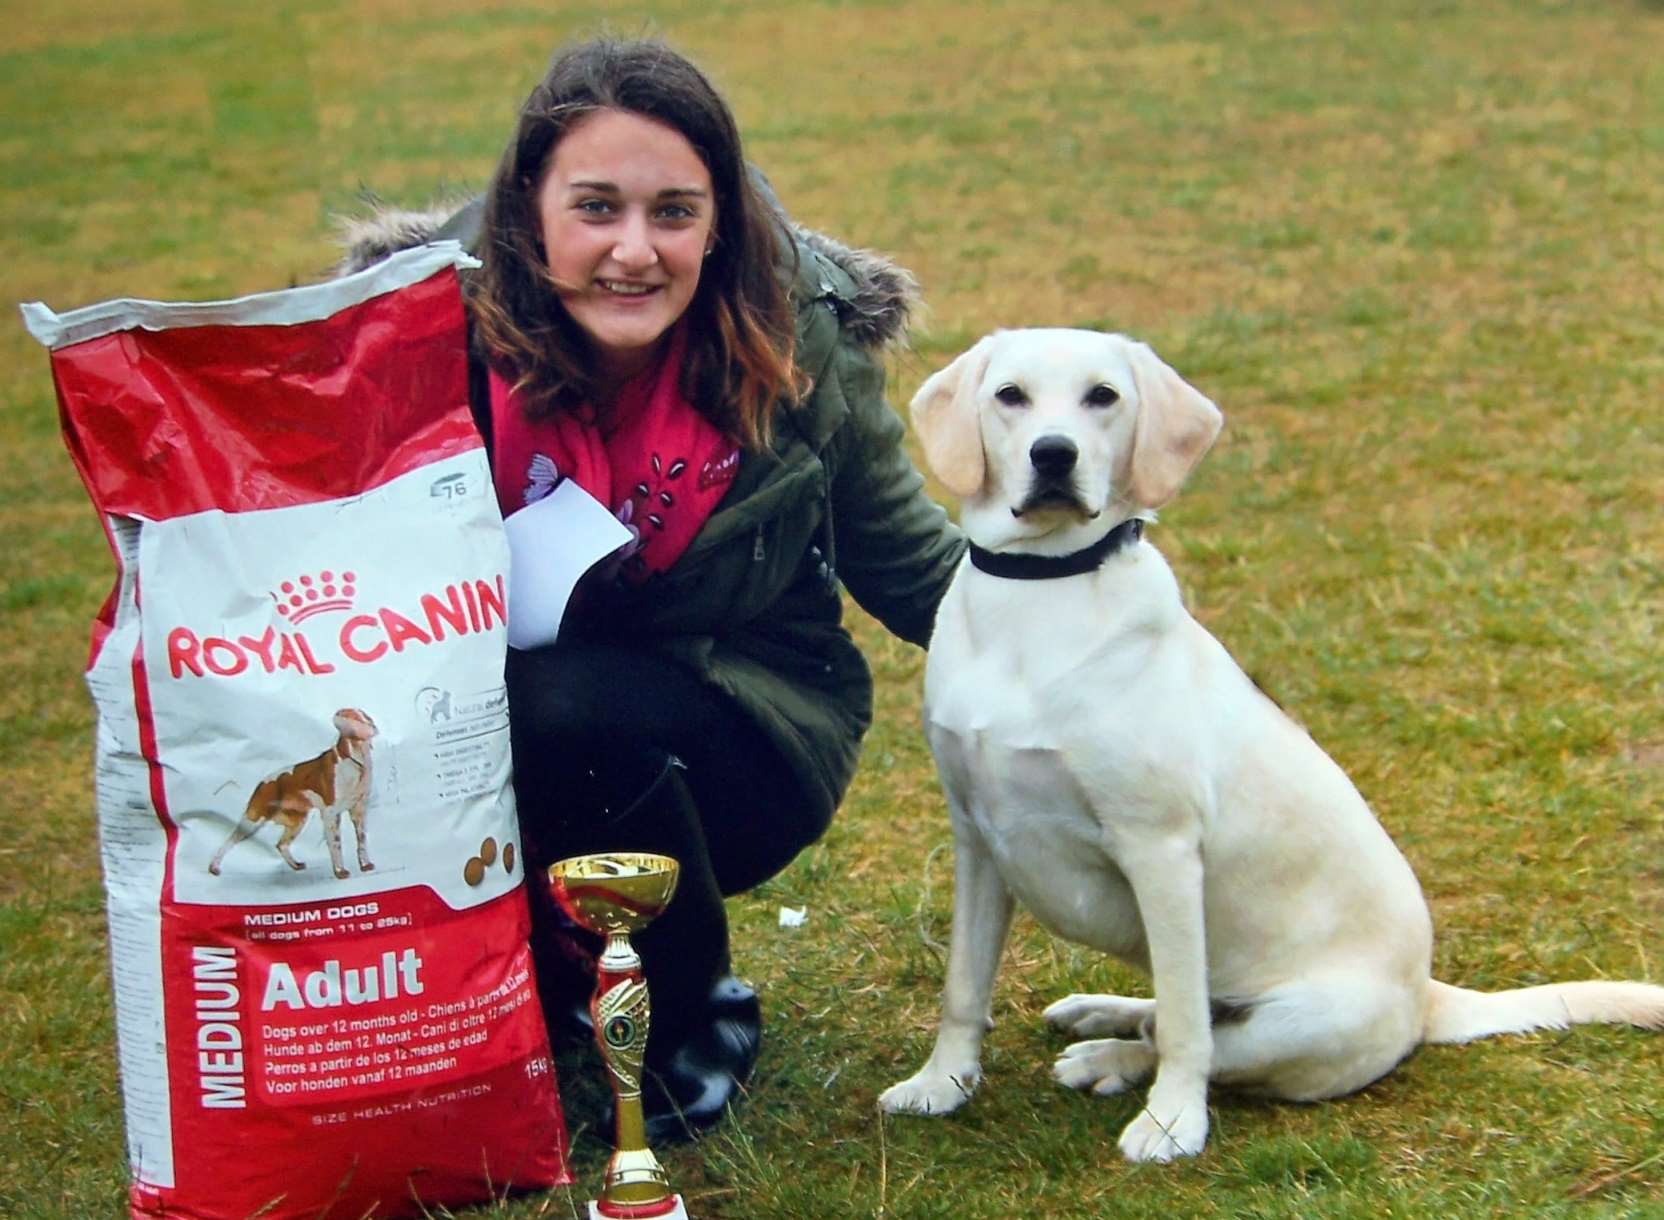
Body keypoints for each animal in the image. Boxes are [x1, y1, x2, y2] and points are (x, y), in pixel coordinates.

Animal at [878, 326, 1657, 1158]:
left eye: (1103, 396)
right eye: (1010, 396)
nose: (1054, 455)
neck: (1040, 592)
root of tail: (1426, 995)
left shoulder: (1160, 851)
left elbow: (1187, 1032)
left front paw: (1171, 1123)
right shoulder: (978, 839)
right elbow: (964, 985)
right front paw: (942, 1083)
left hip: (1300, 1020)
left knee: (1198, 1031)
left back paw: (1109, 1058)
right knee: (1171, 1007)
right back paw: (1102, 1011)